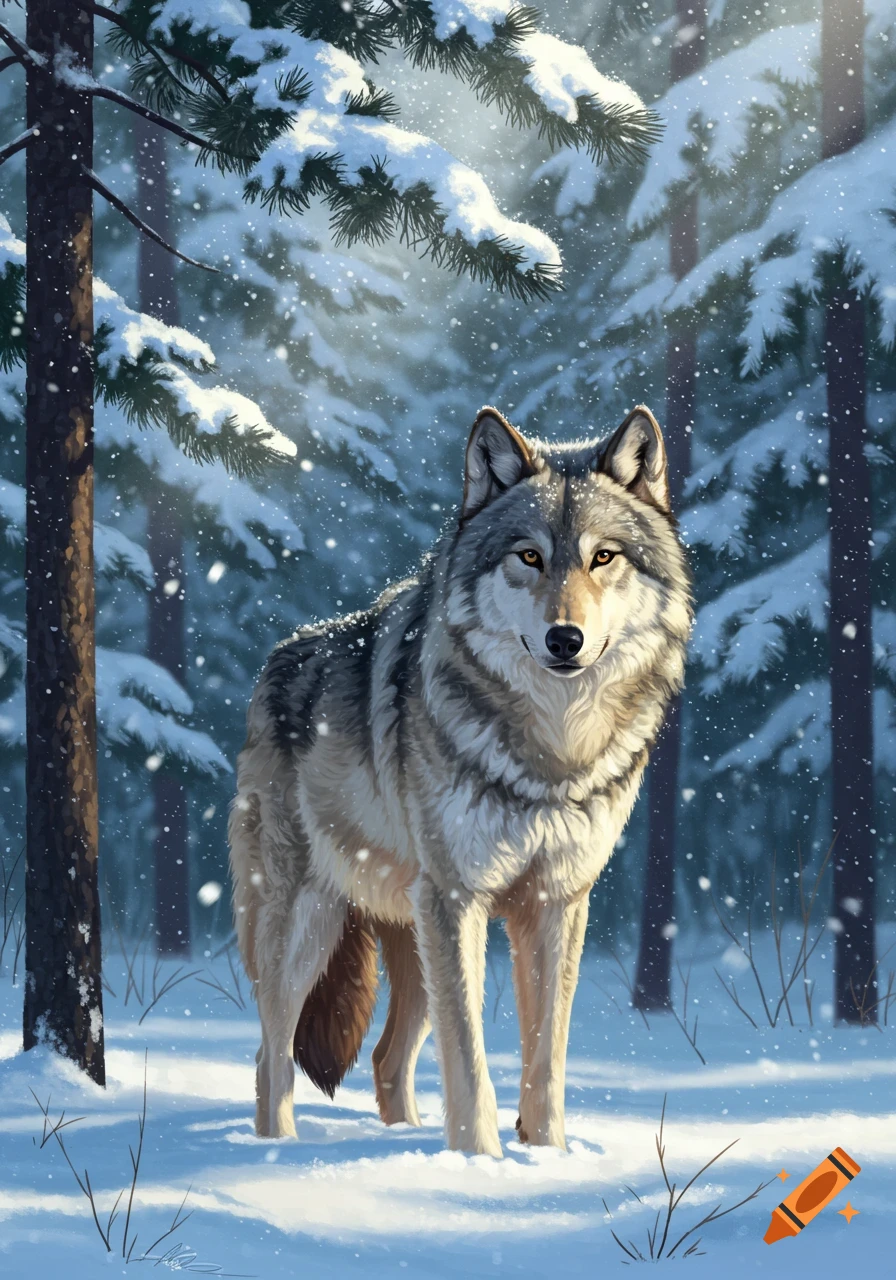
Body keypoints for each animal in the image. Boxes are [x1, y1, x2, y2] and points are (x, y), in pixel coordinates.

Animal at [229, 405, 692, 1157]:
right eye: (528, 556)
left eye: (604, 557)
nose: (565, 639)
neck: (550, 750)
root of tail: (278, 658)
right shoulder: (457, 899)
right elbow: (471, 1061)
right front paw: (481, 1162)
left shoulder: (557, 903)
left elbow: (546, 1058)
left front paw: (546, 1158)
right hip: (309, 925)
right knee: (273, 1056)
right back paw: (281, 1151)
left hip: (410, 935)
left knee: (386, 1059)